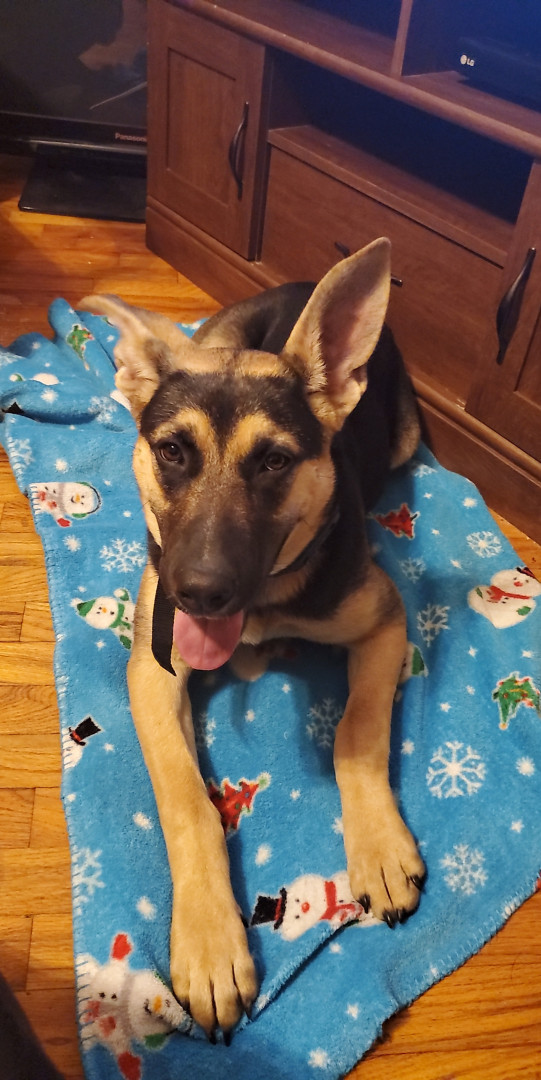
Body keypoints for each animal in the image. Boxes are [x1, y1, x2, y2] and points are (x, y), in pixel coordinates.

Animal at [82, 237, 426, 1039]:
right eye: (172, 453)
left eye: (273, 462)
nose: (199, 593)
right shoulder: (154, 669)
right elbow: (185, 799)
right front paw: (210, 941)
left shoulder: (384, 618)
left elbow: (356, 732)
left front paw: (378, 846)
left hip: (404, 441)